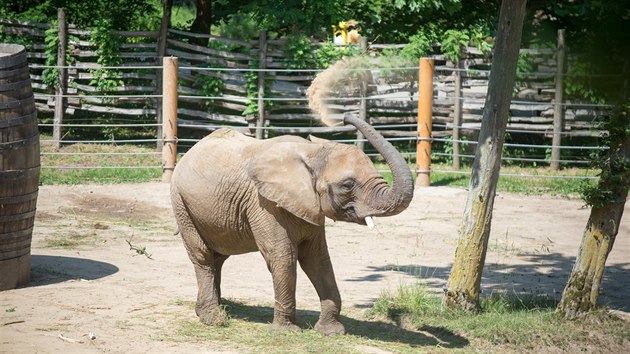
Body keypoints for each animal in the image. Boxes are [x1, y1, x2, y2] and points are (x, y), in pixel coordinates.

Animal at [170, 114, 418, 334]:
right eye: (347, 185)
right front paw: (287, 332)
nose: (345, 117)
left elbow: (317, 258)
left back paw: (213, 310)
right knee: (202, 256)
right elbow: (284, 256)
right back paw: (214, 319)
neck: (312, 153)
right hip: (181, 203)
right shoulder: (264, 203)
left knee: (218, 257)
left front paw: (331, 332)